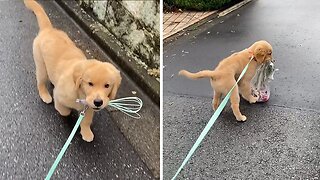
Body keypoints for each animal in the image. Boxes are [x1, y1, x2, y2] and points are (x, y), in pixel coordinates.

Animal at [24, 0, 121, 142]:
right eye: (90, 83)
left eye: (107, 85)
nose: (98, 102)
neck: (81, 94)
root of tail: (49, 30)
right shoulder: (59, 95)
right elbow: (65, 110)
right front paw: (67, 112)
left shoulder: (89, 107)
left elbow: (86, 120)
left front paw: (86, 132)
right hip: (41, 65)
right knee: (40, 82)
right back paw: (45, 94)